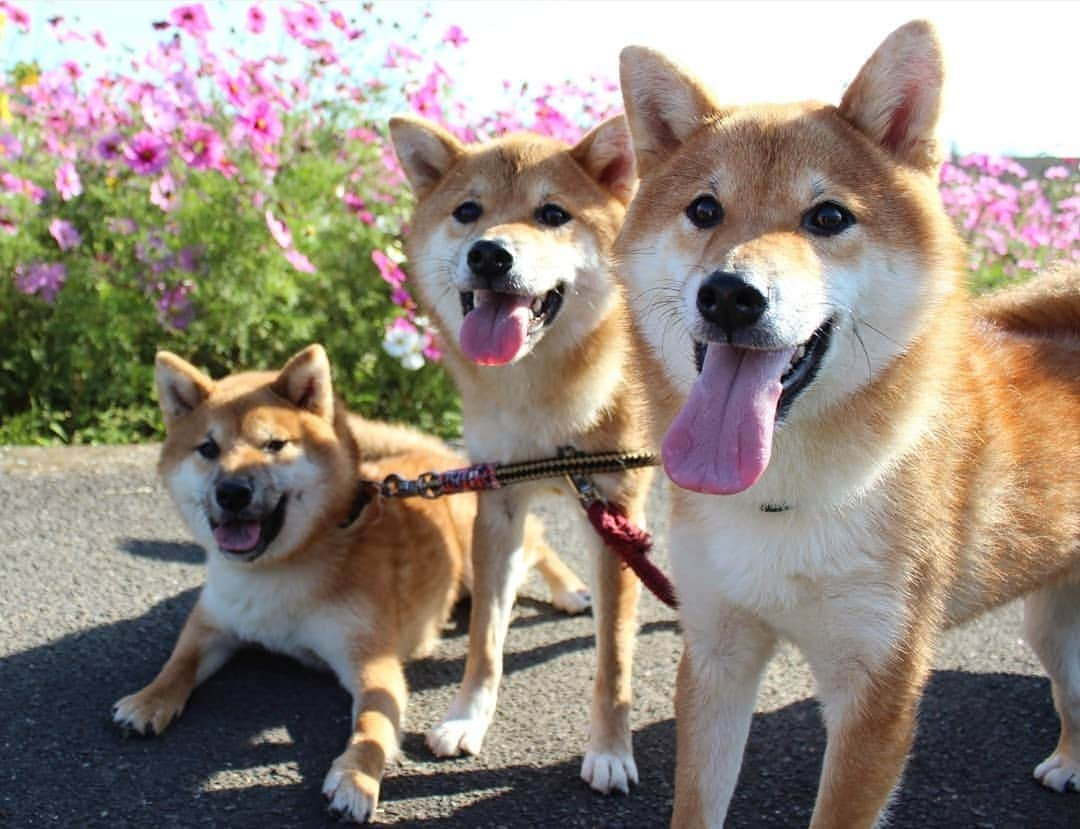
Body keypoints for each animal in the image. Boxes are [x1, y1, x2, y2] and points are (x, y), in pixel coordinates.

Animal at [110, 343, 587, 820]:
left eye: (274, 445)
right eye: (207, 448)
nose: (231, 492)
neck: (280, 569)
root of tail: (441, 464)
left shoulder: (370, 661)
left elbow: (373, 729)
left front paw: (355, 780)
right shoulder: (213, 622)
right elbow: (179, 664)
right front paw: (148, 700)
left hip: (486, 547)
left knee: (538, 544)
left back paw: (570, 589)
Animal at [388, 113, 656, 794]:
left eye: (553, 214)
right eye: (468, 211)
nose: (489, 252)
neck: (542, 398)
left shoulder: (616, 511)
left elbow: (614, 657)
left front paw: (611, 751)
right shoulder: (500, 499)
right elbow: (485, 637)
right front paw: (466, 718)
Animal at [617, 19, 1080, 829]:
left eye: (828, 216)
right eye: (704, 210)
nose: (729, 294)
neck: (782, 497)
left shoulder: (878, 684)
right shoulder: (717, 649)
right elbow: (698, 802)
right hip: (1050, 626)